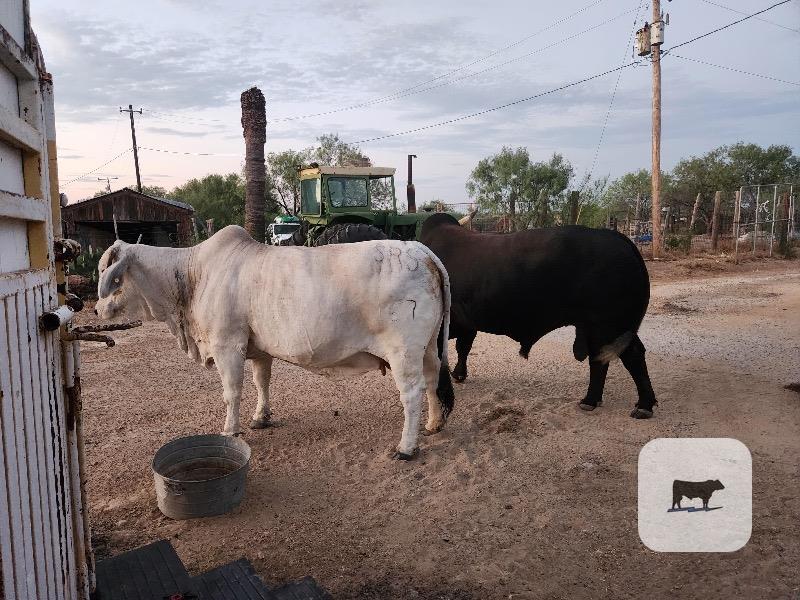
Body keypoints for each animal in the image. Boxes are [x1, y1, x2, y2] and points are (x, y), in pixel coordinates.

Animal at [94, 226, 454, 459]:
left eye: (109, 273)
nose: (96, 308)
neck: (192, 276)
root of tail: (420, 250)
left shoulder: (227, 345)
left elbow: (232, 391)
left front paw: (230, 430)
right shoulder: (258, 349)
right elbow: (261, 381)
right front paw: (260, 417)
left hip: (403, 351)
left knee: (411, 393)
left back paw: (406, 447)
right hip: (428, 347)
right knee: (434, 377)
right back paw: (434, 424)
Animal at [419, 213, 656, 418]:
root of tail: (618, 237)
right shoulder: (466, 323)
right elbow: (463, 348)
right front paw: (459, 374)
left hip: (611, 325)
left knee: (631, 356)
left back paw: (642, 405)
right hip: (599, 328)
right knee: (601, 358)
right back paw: (592, 400)